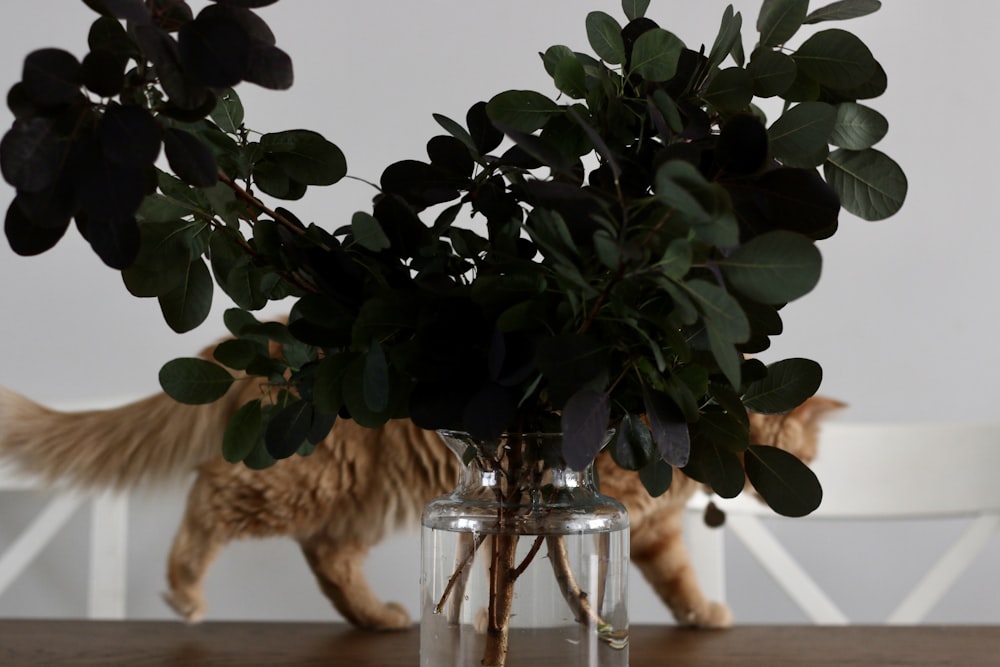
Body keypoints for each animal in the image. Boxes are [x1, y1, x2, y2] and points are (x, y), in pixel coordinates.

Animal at [0, 344, 844, 632]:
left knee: (329, 558)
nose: (799, 480)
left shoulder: (649, 525)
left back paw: (378, 618)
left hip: (359, 497)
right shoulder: (607, 504)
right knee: (211, 496)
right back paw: (183, 593)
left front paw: (702, 613)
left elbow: (676, 577)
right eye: (801, 447)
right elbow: (629, 576)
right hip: (303, 478)